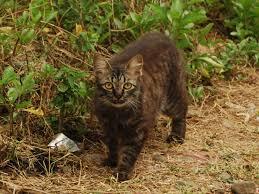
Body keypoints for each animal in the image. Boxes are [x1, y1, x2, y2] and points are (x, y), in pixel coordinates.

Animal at [93, 31, 189, 181]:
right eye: (108, 85)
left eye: (127, 85)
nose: (118, 95)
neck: (117, 115)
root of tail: (162, 35)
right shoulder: (108, 128)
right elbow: (112, 147)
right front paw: (112, 161)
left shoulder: (137, 131)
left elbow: (128, 154)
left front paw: (122, 172)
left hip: (172, 97)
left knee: (182, 111)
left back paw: (177, 136)